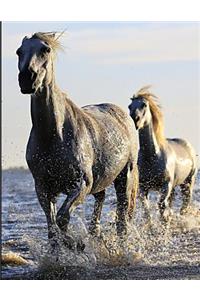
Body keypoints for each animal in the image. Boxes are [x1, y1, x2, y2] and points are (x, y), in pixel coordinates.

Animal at [16, 31, 138, 247]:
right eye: (18, 51)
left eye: (45, 49)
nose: (27, 78)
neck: (54, 136)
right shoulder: (43, 188)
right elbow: (52, 228)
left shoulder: (81, 183)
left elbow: (62, 218)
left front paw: (75, 244)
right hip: (102, 180)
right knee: (100, 200)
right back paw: (95, 234)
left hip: (125, 177)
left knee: (122, 217)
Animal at [128, 86, 197, 223]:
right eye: (129, 106)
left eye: (144, 105)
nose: (135, 119)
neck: (152, 156)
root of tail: (188, 146)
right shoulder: (143, 188)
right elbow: (146, 210)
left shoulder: (165, 186)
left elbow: (161, 206)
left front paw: (164, 222)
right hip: (175, 186)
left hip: (188, 183)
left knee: (184, 205)